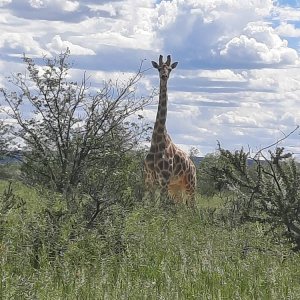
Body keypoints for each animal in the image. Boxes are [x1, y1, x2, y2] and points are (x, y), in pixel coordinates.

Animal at [145, 54, 197, 206]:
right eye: (159, 68)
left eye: (170, 69)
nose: (164, 76)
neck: (157, 141)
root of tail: (193, 166)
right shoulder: (149, 180)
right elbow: (147, 205)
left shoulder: (164, 179)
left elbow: (160, 207)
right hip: (176, 187)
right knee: (181, 206)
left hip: (190, 184)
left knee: (193, 205)